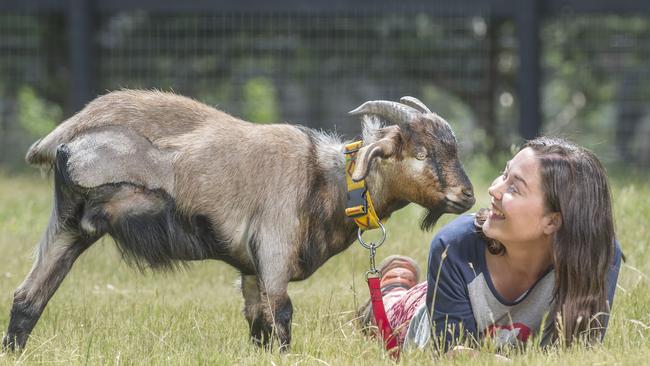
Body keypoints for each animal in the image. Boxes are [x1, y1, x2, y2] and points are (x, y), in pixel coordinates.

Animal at [2, 89, 474, 352]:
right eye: (420, 152)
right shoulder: (275, 252)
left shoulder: (251, 269)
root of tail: (62, 137)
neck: (324, 180)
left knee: (28, 297)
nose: (466, 196)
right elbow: (281, 317)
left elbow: (258, 324)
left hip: (68, 228)